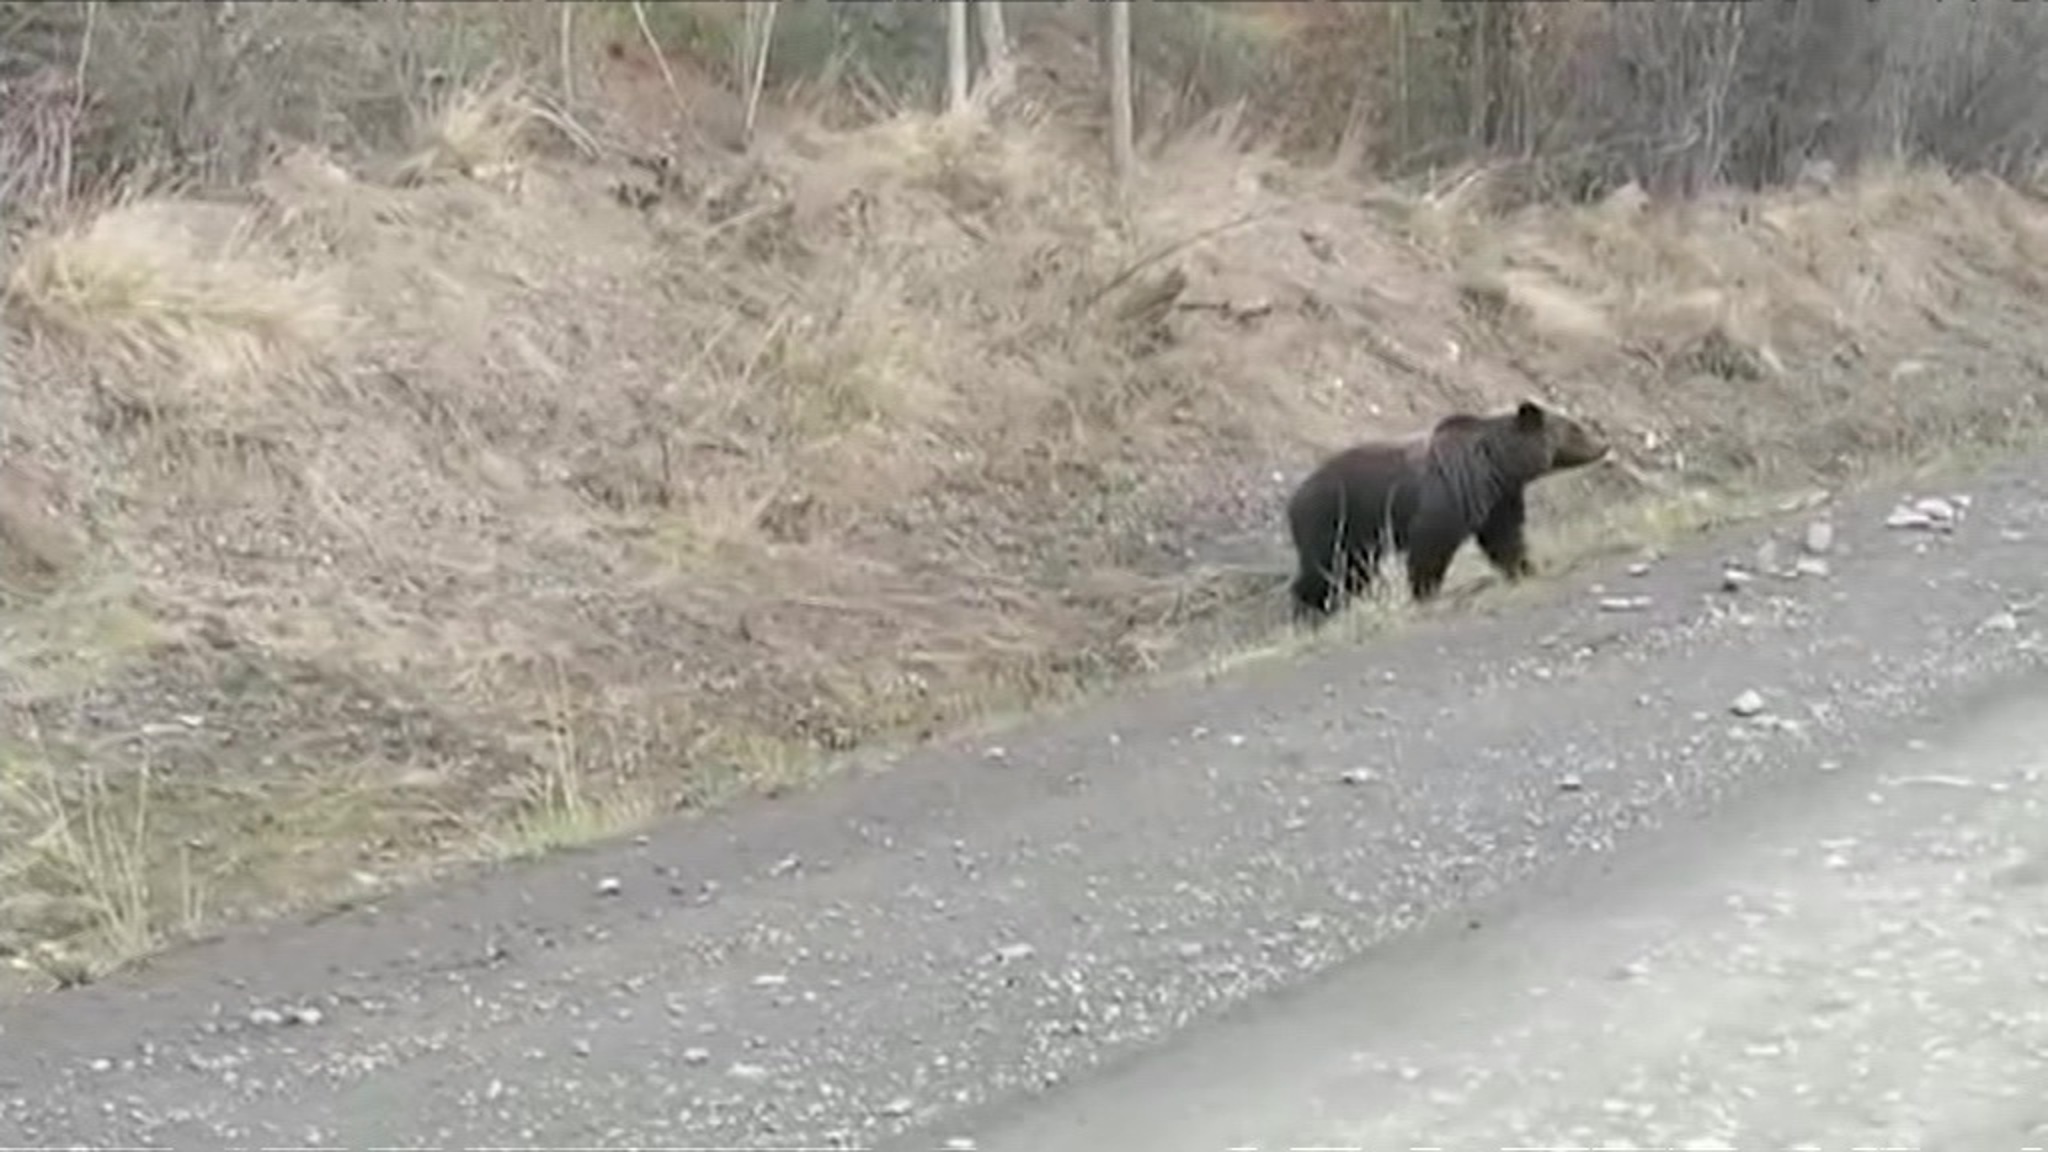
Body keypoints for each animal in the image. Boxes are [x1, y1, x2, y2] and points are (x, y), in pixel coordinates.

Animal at [1285, 399, 1610, 624]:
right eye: (1575, 427)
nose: (1604, 443)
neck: (1496, 466)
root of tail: (1293, 499)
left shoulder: (1499, 500)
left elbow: (1504, 538)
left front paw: (1524, 567)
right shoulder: (1448, 495)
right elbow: (1431, 545)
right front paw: (1426, 592)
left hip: (1359, 536)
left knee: (1352, 573)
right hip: (1335, 519)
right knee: (1326, 569)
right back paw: (1309, 613)